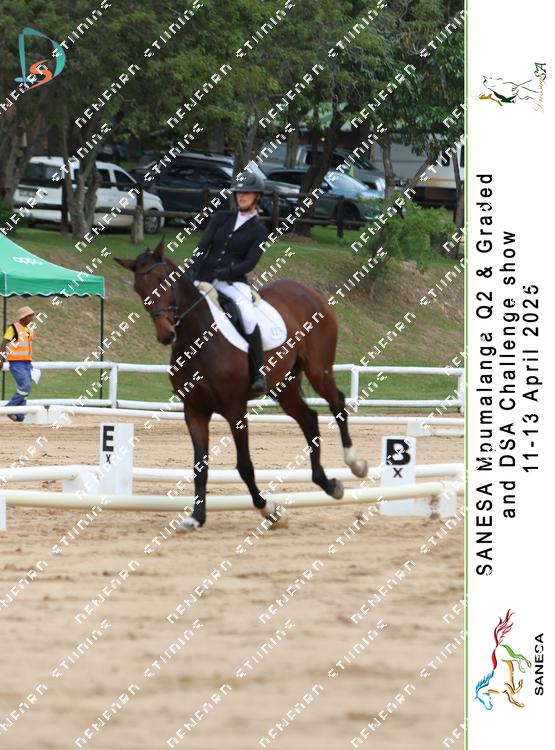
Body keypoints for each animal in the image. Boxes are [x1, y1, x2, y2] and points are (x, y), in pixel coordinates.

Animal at [115, 238, 368, 530]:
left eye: (166, 281)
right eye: (138, 288)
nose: (166, 334)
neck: (197, 340)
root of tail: (308, 291)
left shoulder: (235, 408)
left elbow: (244, 466)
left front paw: (270, 510)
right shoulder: (195, 411)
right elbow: (200, 467)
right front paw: (196, 517)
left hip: (319, 370)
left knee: (337, 402)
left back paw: (355, 463)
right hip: (284, 385)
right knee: (309, 419)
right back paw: (328, 484)